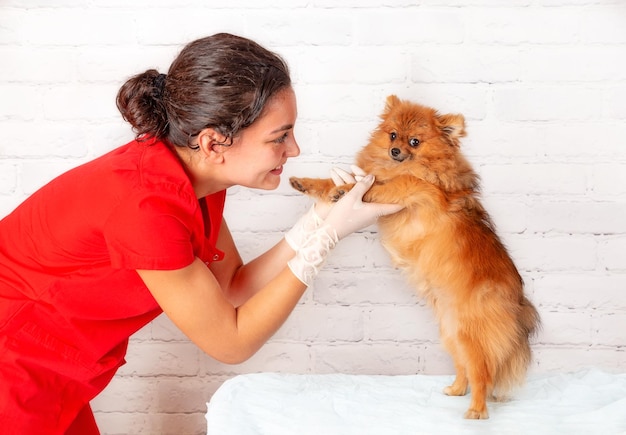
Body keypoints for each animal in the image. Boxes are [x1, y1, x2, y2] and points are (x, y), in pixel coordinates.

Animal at [290, 94, 540, 418]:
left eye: (415, 142)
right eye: (393, 135)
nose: (394, 150)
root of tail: (516, 300)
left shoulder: (416, 187)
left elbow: (383, 185)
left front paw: (347, 189)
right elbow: (345, 182)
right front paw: (317, 186)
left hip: (470, 336)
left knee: (482, 373)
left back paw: (476, 410)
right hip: (451, 334)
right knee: (465, 367)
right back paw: (456, 390)